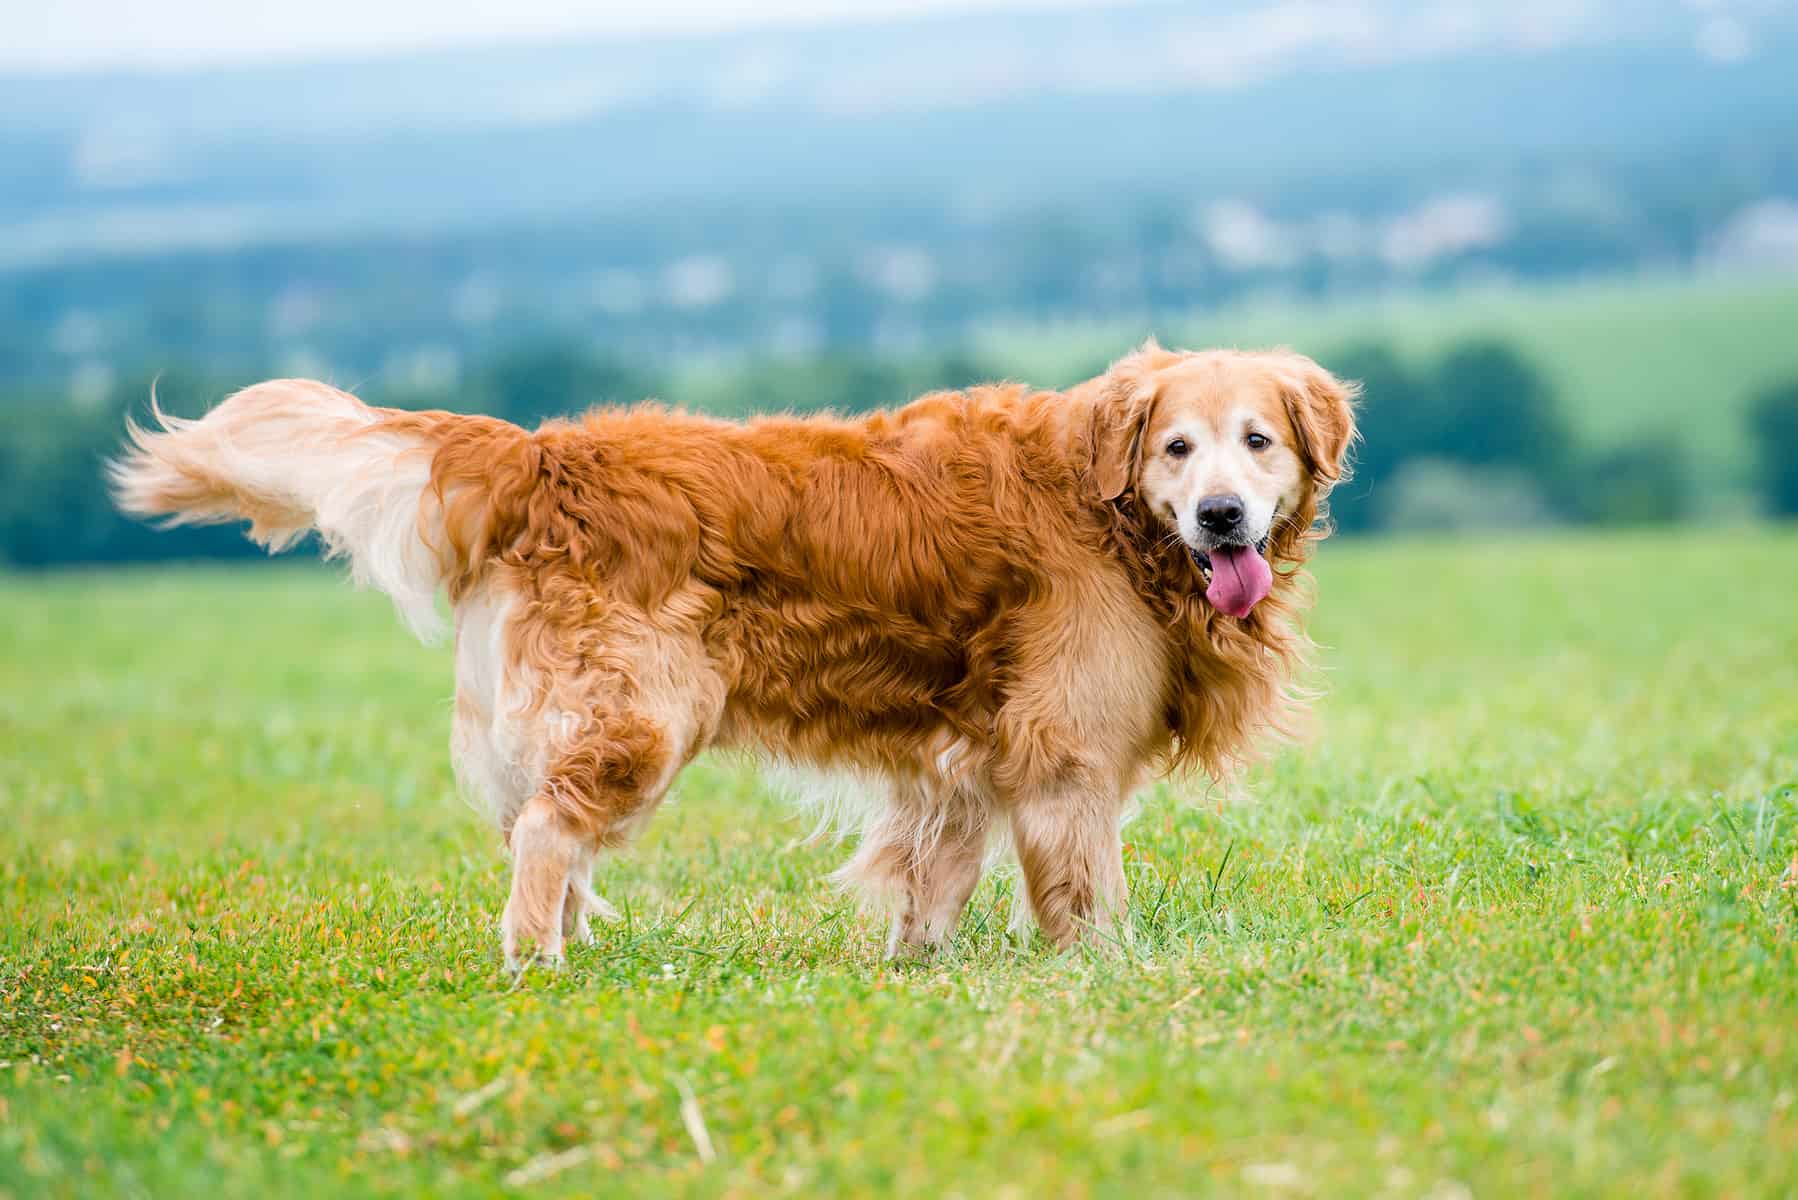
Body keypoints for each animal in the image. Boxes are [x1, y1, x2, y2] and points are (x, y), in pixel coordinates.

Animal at [108, 338, 1352, 964]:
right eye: (1176, 448)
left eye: (1257, 441)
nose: (1223, 518)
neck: (1106, 510)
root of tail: (544, 453)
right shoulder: (1063, 749)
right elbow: (1085, 889)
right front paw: (1102, 971)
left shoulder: (967, 754)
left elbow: (938, 871)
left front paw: (919, 965)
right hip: (641, 718)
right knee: (548, 832)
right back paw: (537, 963)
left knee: (541, 826)